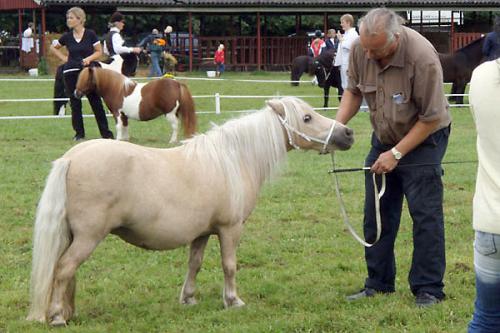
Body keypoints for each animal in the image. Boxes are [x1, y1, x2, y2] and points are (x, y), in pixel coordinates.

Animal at [25, 96, 354, 324]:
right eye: (307, 118)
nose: (347, 133)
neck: (233, 159)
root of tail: (72, 158)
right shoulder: (230, 229)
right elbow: (229, 265)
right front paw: (233, 301)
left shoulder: (202, 233)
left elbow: (194, 264)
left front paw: (189, 299)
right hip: (87, 237)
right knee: (65, 269)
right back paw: (57, 317)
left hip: (71, 236)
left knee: (65, 271)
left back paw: (67, 312)